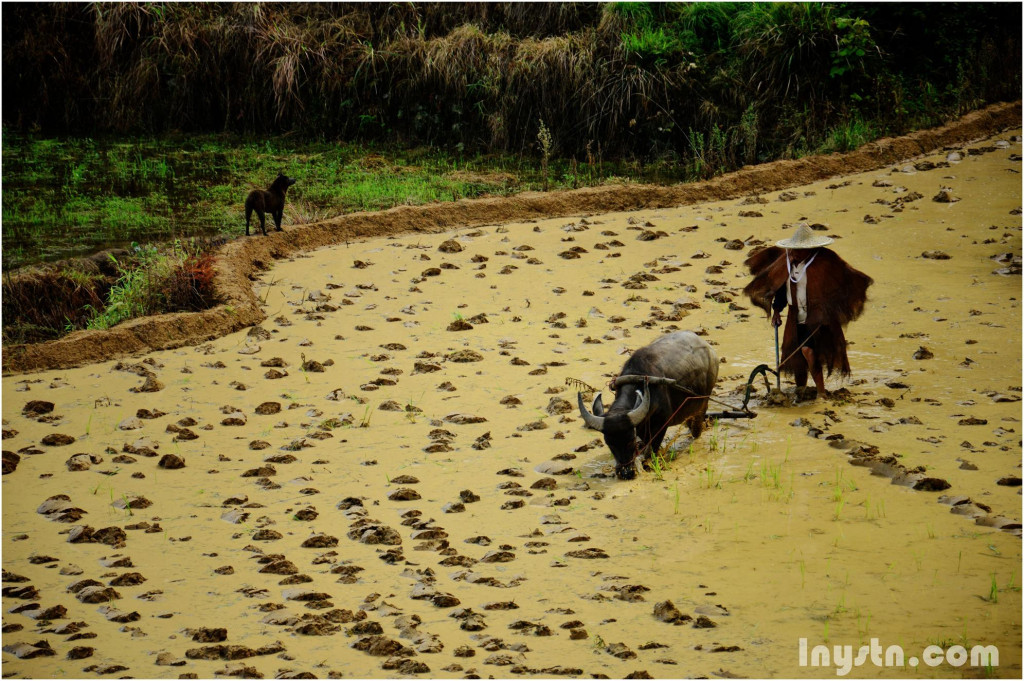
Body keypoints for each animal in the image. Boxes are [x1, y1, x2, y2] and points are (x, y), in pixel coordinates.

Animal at [581, 329, 716, 477]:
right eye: (609, 443)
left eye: (631, 440)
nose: (626, 473)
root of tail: (709, 348)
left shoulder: (662, 423)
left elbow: (652, 448)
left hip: (704, 399)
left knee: (698, 419)